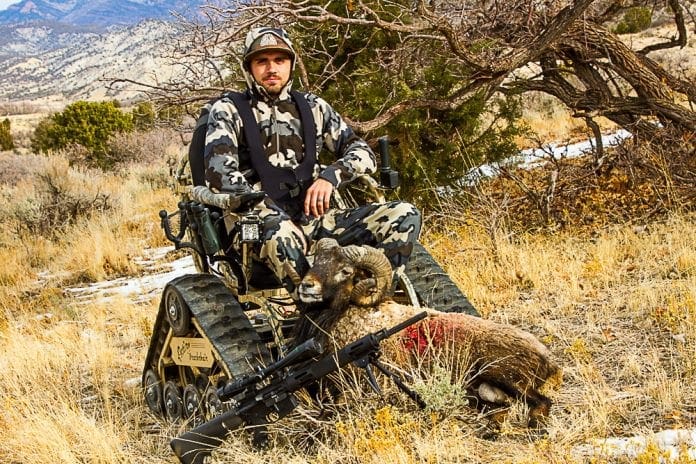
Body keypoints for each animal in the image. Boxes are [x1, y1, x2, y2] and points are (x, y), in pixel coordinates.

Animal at [288, 238, 562, 426]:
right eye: (317, 262)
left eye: (345, 270)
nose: (306, 286)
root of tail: (548, 359)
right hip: (489, 388)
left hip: (506, 376)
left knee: (541, 401)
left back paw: (533, 424)